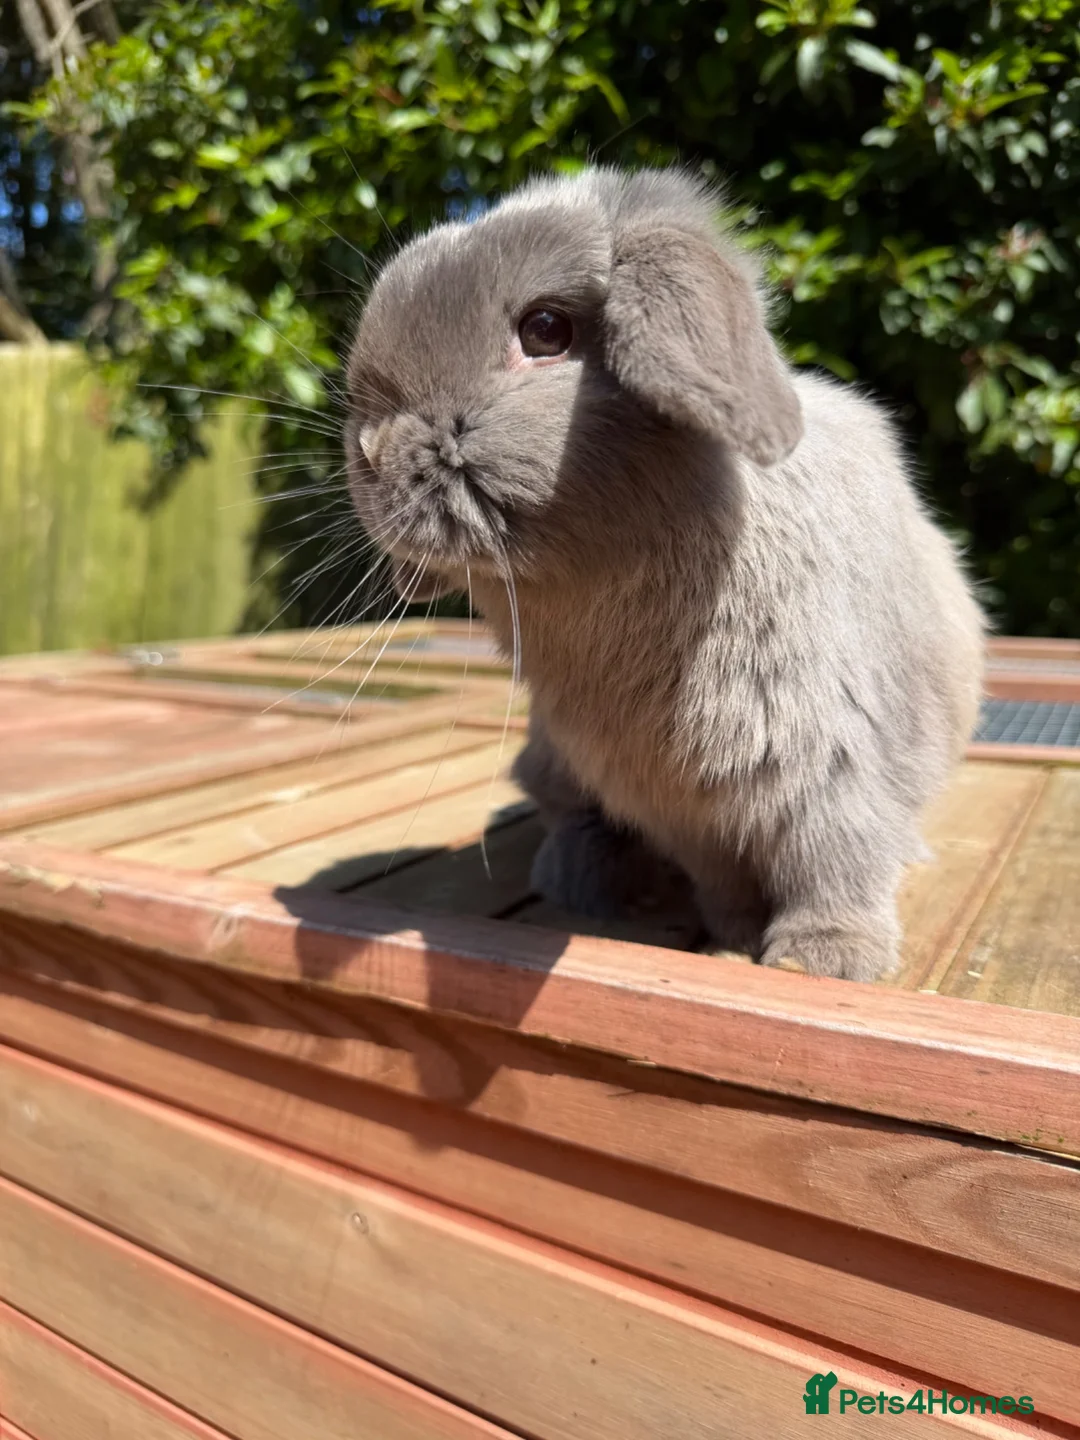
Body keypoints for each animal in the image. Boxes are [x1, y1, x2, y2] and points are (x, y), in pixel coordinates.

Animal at [344, 165, 985, 982]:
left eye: (545, 330)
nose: (371, 450)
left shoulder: (838, 766)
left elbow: (836, 863)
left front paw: (822, 960)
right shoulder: (677, 802)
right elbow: (724, 879)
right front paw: (734, 935)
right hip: (555, 760)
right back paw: (590, 880)